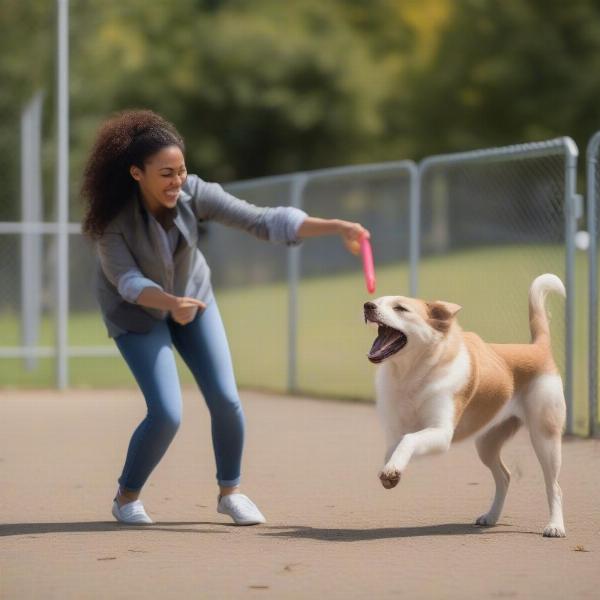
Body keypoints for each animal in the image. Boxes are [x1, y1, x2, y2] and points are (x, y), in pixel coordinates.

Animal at [366, 274, 568, 536]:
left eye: (400, 308)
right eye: (378, 301)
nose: (367, 306)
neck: (411, 375)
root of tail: (538, 347)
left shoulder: (441, 433)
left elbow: (409, 439)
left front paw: (392, 470)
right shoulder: (395, 434)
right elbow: (395, 448)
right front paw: (392, 471)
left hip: (545, 438)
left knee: (554, 486)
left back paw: (555, 526)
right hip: (487, 443)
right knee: (504, 477)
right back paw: (491, 516)